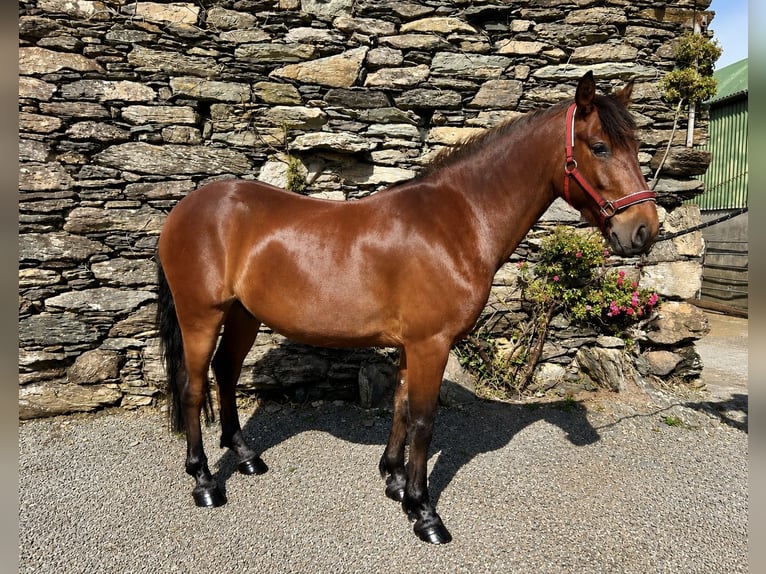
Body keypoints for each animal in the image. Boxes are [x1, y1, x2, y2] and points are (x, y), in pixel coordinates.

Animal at [155, 71, 658, 544]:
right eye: (600, 147)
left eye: (636, 146)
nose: (643, 231)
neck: (457, 222)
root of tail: (185, 208)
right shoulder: (430, 344)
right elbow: (423, 421)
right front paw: (423, 511)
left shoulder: (410, 346)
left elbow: (398, 407)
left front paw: (395, 482)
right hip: (201, 316)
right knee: (193, 388)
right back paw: (205, 482)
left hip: (243, 315)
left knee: (225, 371)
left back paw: (245, 457)